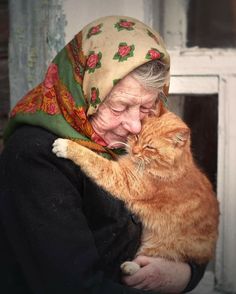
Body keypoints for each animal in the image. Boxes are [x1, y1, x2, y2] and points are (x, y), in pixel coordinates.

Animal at [52, 109, 220, 274]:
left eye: (150, 147)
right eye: (137, 136)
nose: (134, 150)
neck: (170, 170)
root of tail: (208, 252)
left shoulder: (122, 179)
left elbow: (94, 160)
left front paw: (67, 146)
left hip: (161, 246)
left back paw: (130, 268)